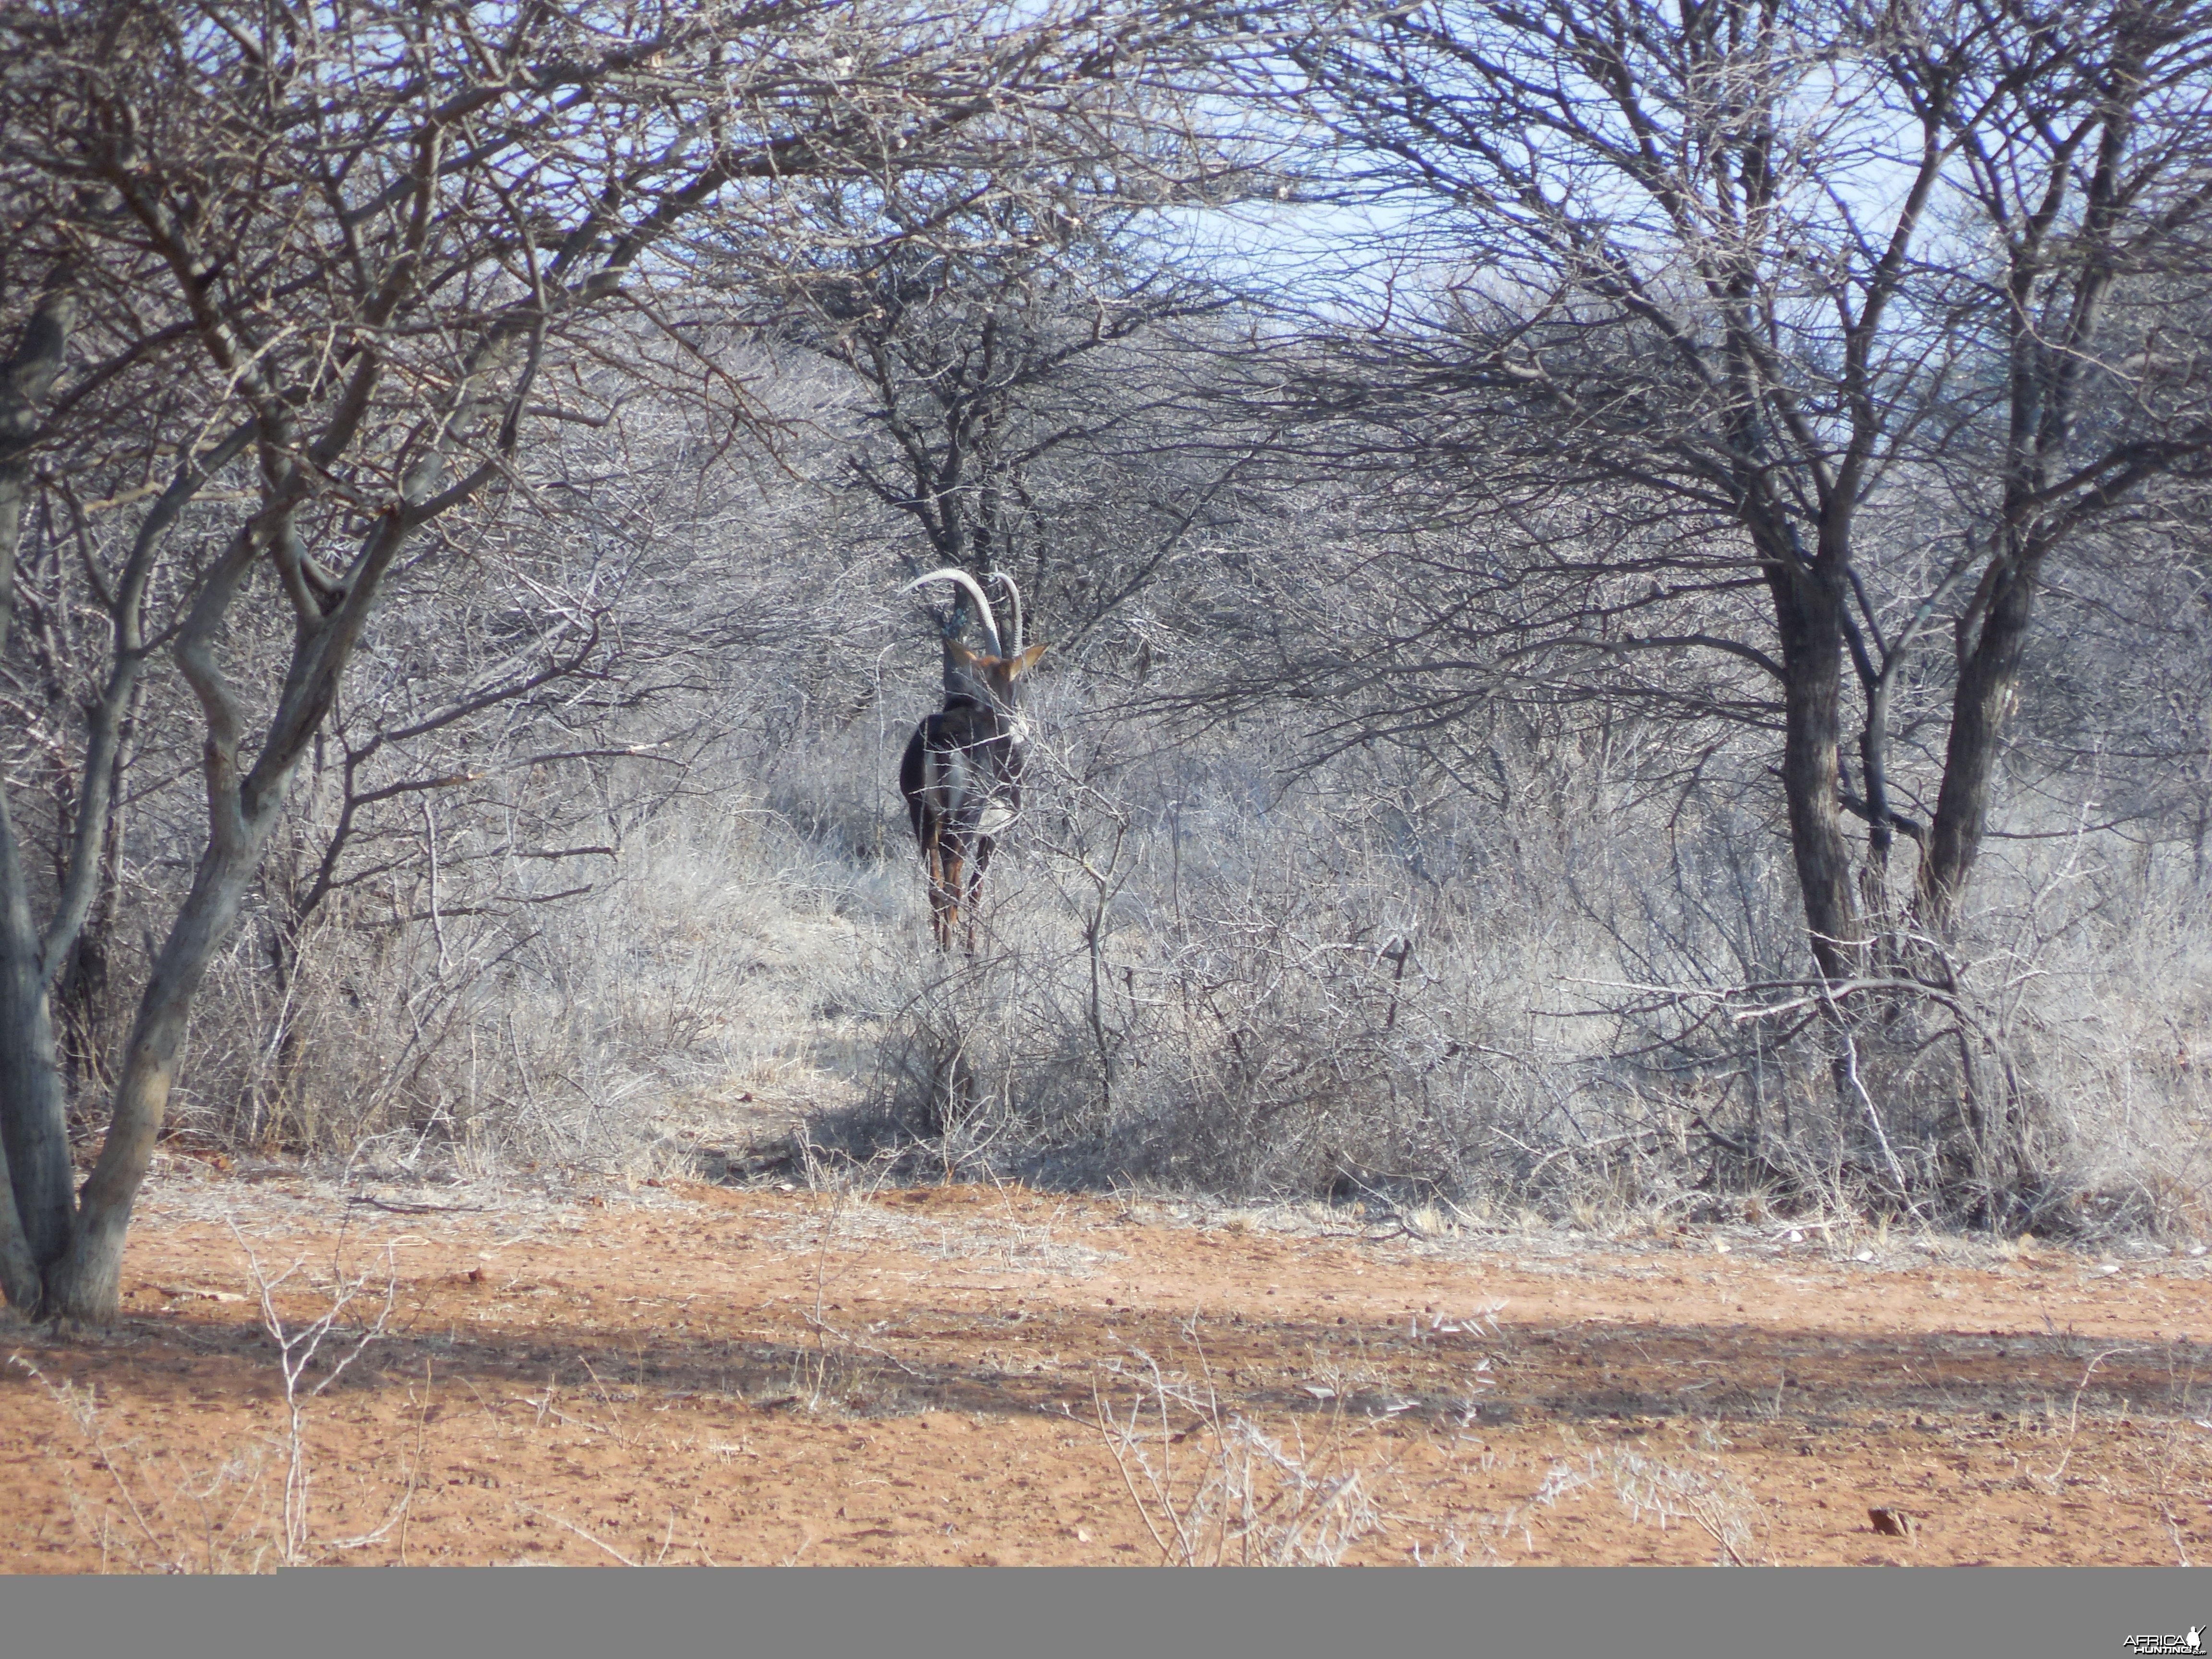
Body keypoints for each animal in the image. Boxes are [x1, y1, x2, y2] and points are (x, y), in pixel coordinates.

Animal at [898, 570, 1044, 955]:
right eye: (1018, 685)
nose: (1023, 727)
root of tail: (941, 740)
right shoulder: (994, 831)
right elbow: (978, 890)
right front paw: (972, 949)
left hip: (923, 814)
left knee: (934, 884)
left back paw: (939, 949)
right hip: (963, 821)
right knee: (954, 886)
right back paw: (950, 951)